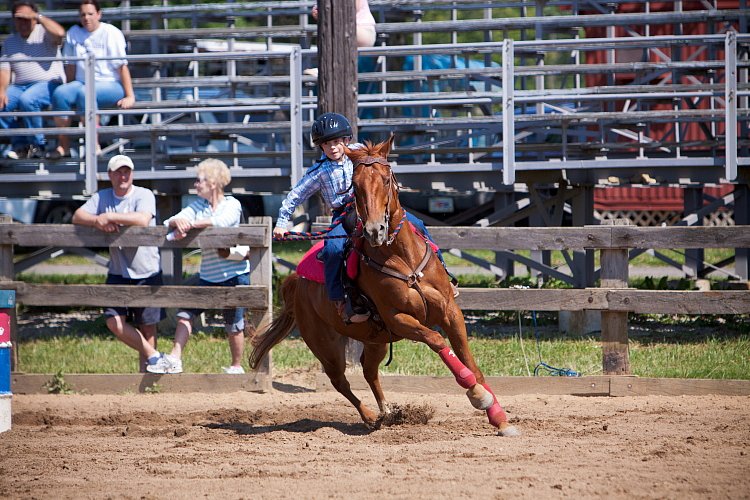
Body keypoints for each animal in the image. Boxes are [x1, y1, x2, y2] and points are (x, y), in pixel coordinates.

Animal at [250, 135, 520, 436]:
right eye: (355, 186)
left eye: (387, 179)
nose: (374, 231)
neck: (403, 258)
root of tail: (296, 281)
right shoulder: (399, 319)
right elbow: (438, 341)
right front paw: (478, 395)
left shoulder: (450, 311)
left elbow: (471, 363)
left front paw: (499, 417)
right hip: (324, 344)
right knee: (340, 380)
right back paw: (369, 416)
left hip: (375, 339)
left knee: (369, 371)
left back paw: (387, 413)